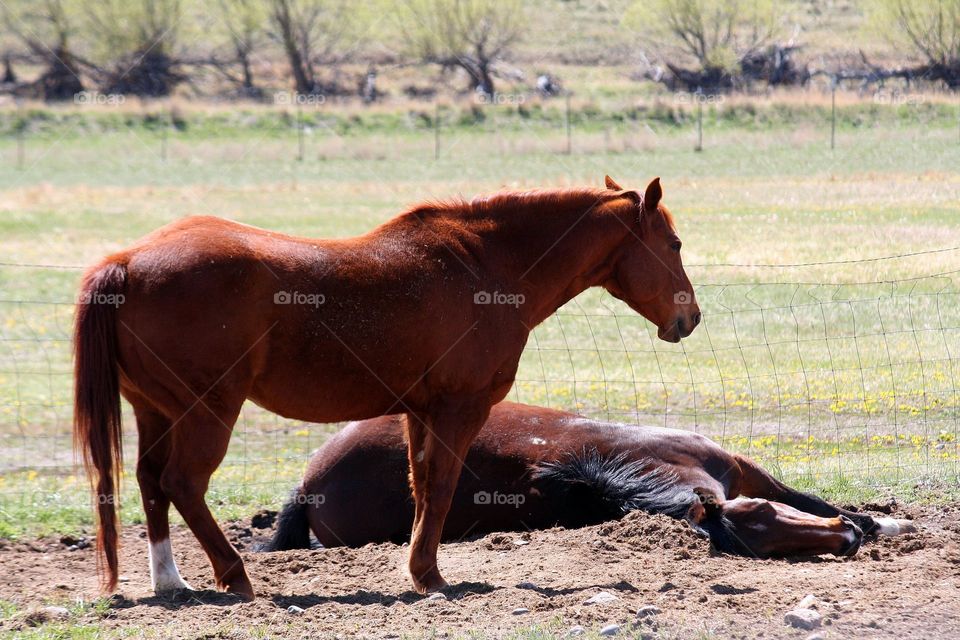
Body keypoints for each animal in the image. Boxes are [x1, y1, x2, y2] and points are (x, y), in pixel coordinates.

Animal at [73, 176, 700, 599]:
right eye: (673, 244)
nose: (689, 318)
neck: (483, 266)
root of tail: (127, 261)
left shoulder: (420, 412)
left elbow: (421, 488)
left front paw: (419, 571)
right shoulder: (459, 409)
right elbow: (441, 488)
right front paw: (430, 576)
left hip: (156, 412)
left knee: (151, 483)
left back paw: (171, 581)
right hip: (207, 413)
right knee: (181, 483)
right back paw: (235, 577)